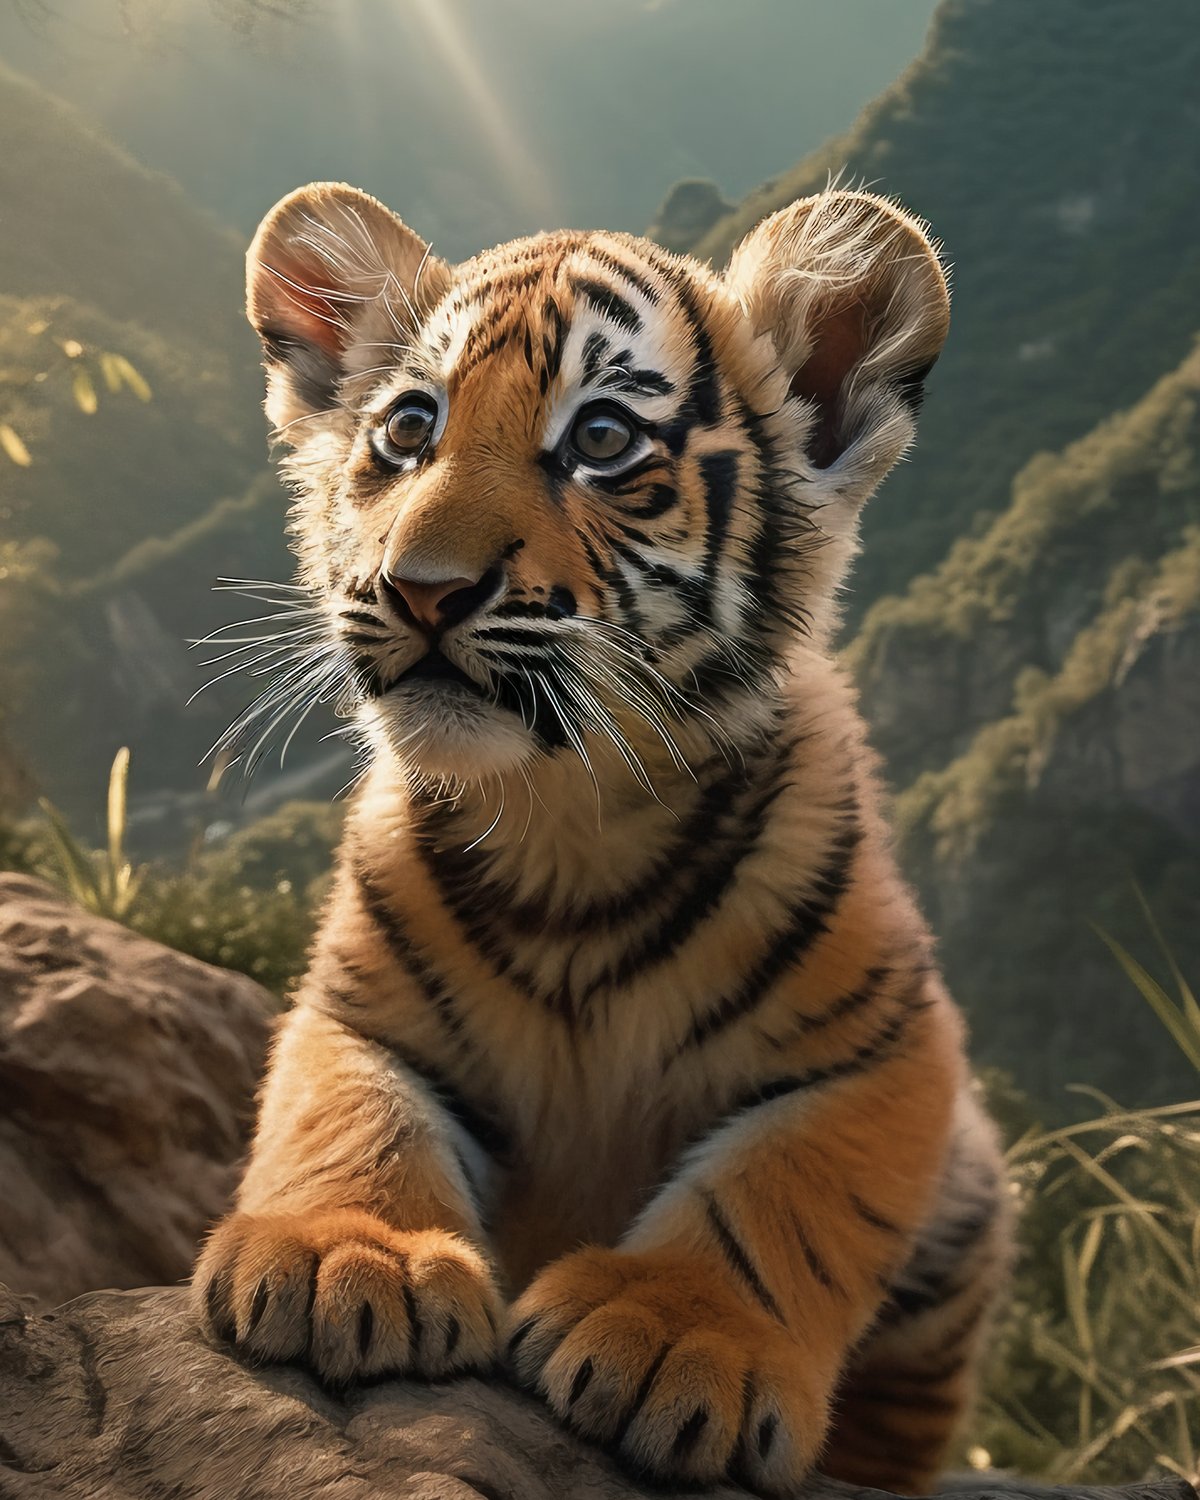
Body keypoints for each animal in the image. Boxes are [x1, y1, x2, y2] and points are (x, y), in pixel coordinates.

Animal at [193, 179, 1010, 1496]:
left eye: (604, 441)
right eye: (409, 429)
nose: (421, 586)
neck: (564, 816)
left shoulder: (890, 1044)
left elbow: (782, 1186)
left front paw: (674, 1334)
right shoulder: (357, 1010)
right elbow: (349, 1113)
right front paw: (344, 1259)